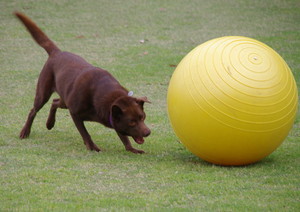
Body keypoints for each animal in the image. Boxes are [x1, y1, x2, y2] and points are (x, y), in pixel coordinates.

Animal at [14, 11, 150, 153]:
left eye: (142, 117)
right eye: (132, 122)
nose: (148, 132)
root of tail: (57, 52)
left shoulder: (112, 117)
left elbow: (124, 137)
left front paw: (132, 149)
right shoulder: (75, 113)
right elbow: (85, 133)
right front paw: (92, 146)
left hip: (65, 99)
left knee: (55, 101)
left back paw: (49, 124)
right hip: (44, 93)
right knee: (33, 110)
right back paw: (25, 131)